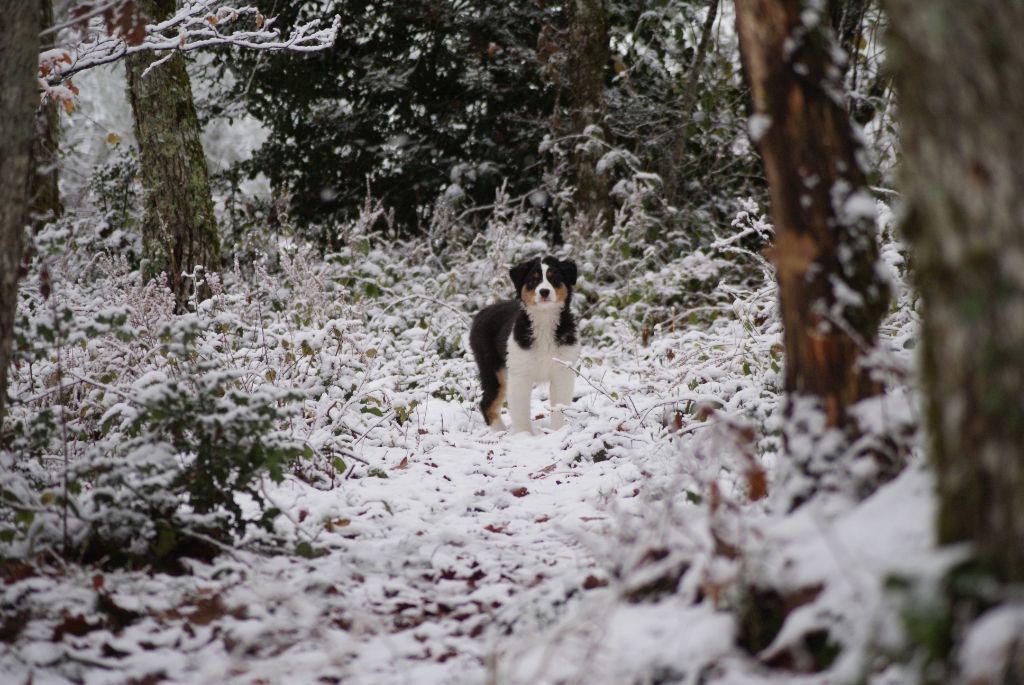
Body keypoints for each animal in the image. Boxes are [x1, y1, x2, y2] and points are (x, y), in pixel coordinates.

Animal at [468, 255, 581, 432]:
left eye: (554, 278)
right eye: (533, 280)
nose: (544, 291)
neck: (544, 319)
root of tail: (482, 313)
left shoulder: (562, 370)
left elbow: (559, 407)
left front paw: (559, 432)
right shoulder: (520, 373)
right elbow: (520, 410)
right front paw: (524, 435)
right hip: (492, 368)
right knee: (487, 403)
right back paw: (500, 432)